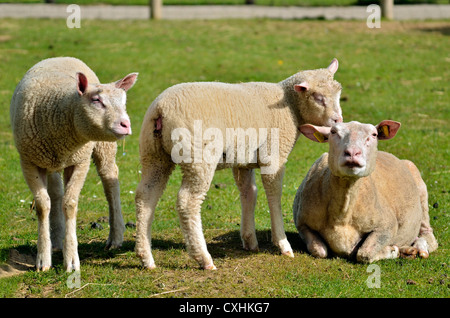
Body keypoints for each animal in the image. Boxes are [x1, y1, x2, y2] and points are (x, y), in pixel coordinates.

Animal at [10, 56, 137, 270]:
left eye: (124, 102)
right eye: (96, 100)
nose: (125, 125)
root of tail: (60, 57)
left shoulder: (80, 161)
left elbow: (70, 204)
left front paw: (71, 260)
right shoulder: (28, 161)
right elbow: (43, 205)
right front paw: (43, 258)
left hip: (103, 147)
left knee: (110, 182)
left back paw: (115, 237)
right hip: (50, 160)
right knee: (55, 192)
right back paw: (56, 239)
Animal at [135, 58, 342, 270]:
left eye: (338, 93)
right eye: (318, 98)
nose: (338, 120)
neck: (290, 106)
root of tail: (161, 109)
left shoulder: (243, 161)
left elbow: (249, 193)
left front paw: (249, 240)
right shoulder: (274, 155)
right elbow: (274, 195)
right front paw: (283, 244)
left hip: (154, 154)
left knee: (145, 196)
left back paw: (146, 257)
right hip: (198, 157)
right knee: (188, 201)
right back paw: (203, 258)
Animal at [294, 120, 438, 262]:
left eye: (374, 134)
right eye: (333, 132)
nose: (352, 153)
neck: (343, 214)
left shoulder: (388, 225)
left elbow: (364, 253)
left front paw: (393, 250)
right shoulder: (302, 223)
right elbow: (319, 251)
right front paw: (397, 250)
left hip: (420, 189)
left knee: (429, 235)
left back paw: (419, 248)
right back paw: (407, 250)